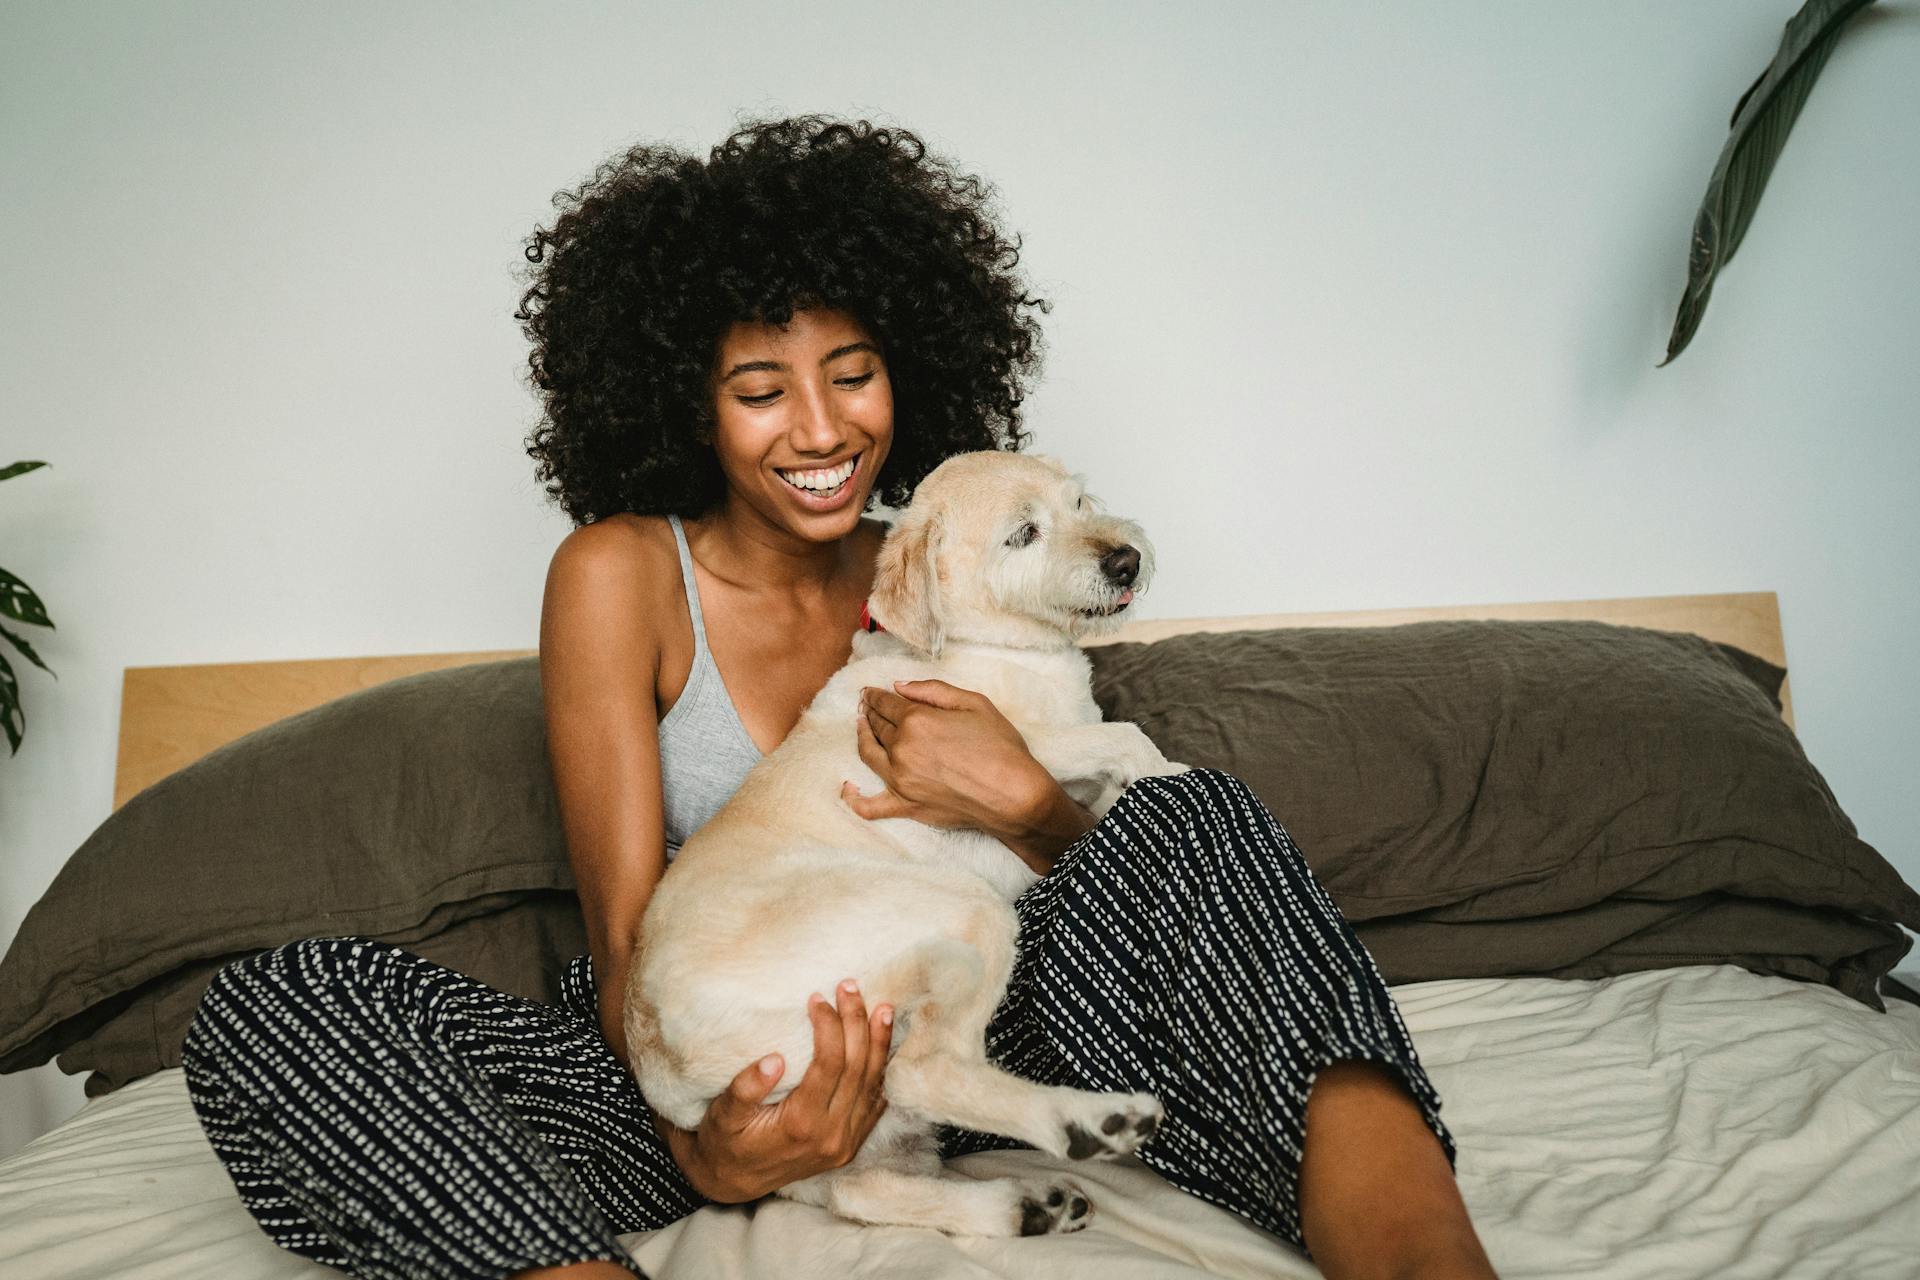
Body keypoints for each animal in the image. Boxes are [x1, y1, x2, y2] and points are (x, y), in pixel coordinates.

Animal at [625, 452, 1182, 1243]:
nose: (1125, 557)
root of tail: (662, 1062)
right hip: (960, 916)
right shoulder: (1011, 747)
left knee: (866, 1191)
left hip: (831, 1137)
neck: (997, 647)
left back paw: (1021, 1204)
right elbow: (1123, 738)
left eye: (1079, 502)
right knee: (923, 1072)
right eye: (1023, 534)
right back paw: (1085, 1122)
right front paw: (1179, 773)